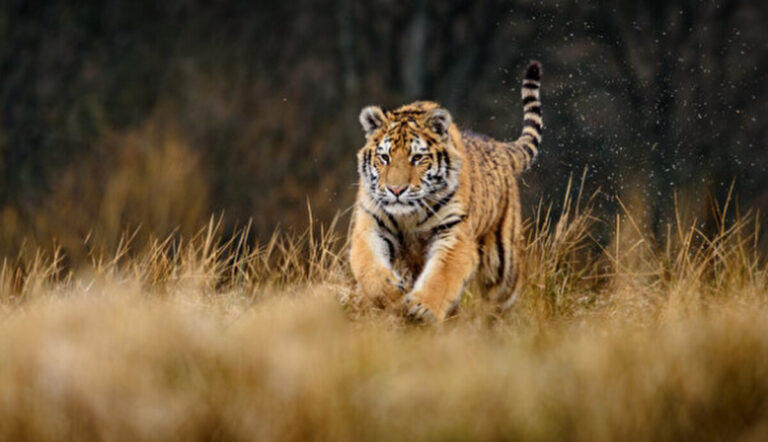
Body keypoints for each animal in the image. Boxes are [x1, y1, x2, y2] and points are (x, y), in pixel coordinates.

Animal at [350, 61, 543, 322]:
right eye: (385, 158)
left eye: (417, 158)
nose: (396, 189)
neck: (409, 215)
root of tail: (498, 146)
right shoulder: (371, 224)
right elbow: (368, 264)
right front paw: (390, 292)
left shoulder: (454, 234)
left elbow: (442, 275)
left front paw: (423, 308)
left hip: (503, 265)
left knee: (505, 298)